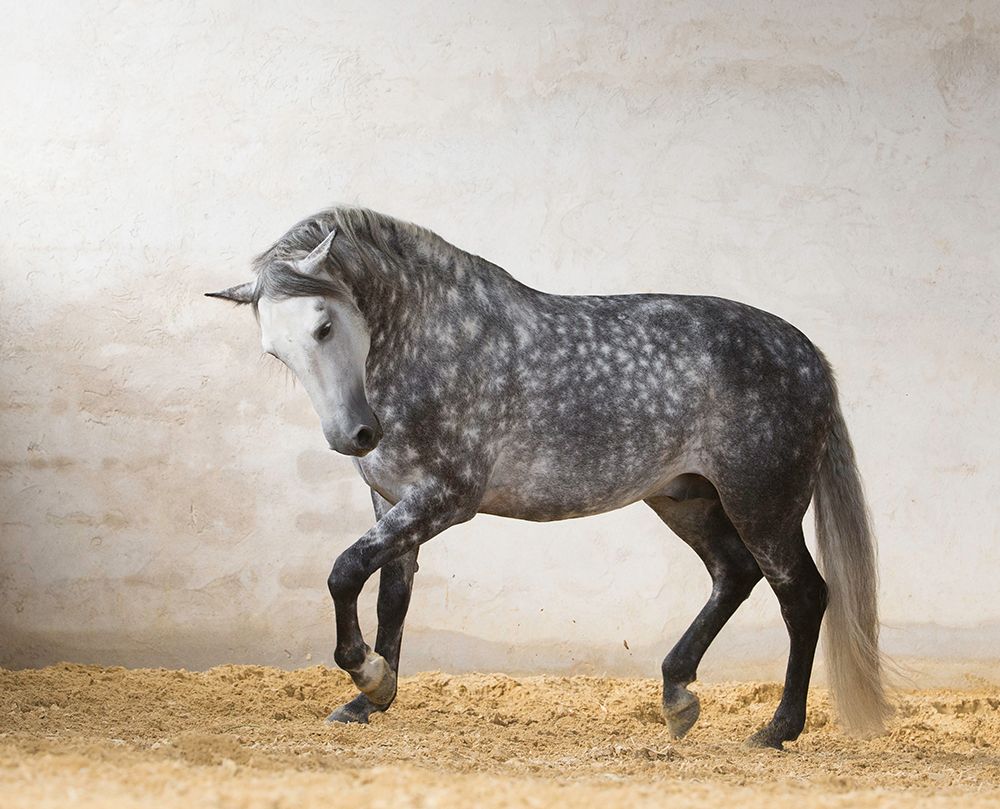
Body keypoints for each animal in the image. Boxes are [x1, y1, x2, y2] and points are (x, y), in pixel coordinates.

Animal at [206, 206, 892, 749]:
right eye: (275, 351)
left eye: (324, 325)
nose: (354, 436)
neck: (435, 342)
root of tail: (807, 354)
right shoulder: (391, 502)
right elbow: (390, 596)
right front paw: (369, 697)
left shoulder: (444, 499)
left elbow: (344, 570)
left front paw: (367, 674)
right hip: (686, 500)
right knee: (734, 575)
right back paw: (678, 697)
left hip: (763, 504)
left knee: (803, 596)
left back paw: (777, 729)